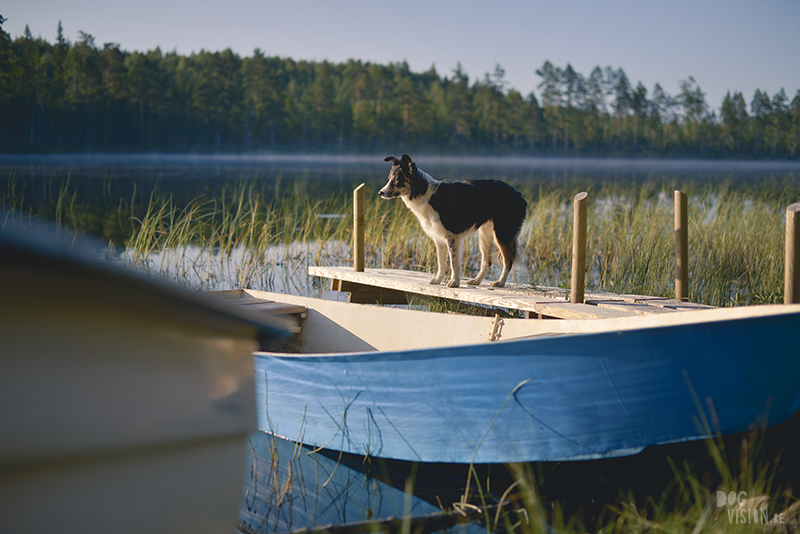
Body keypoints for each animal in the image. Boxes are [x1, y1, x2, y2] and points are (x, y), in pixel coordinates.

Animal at [380, 155, 528, 288]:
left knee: (508, 261)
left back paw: (500, 282)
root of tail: (518, 195)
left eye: (396, 180)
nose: (380, 193)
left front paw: (454, 283)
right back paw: (476, 281)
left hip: (502, 234)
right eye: (388, 179)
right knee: (487, 262)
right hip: (485, 235)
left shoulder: (452, 236)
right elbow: (441, 262)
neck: (425, 193)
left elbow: (453, 262)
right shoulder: (439, 239)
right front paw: (438, 280)